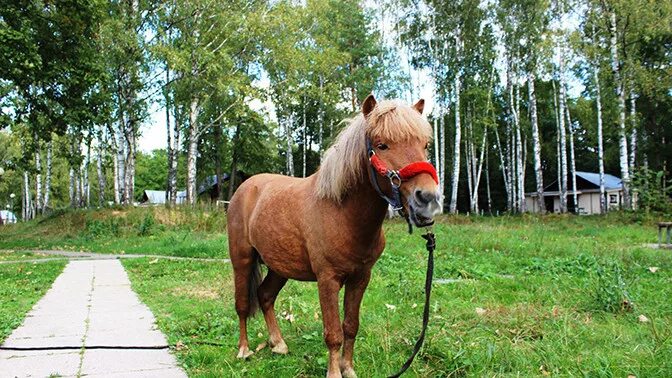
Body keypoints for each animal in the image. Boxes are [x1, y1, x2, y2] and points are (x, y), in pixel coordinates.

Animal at [228, 95, 444, 378]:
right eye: (382, 145)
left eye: (425, 144)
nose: (427, 199)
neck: (342, 214)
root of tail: (245, 188)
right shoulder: (327, 280)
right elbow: (333, 333)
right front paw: (334, 372)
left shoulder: (360, 278)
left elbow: (350, 326)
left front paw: (348, 369)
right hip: (241, 259)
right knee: (243, 304)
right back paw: (243, 350)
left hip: (279, 266)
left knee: (265, 296)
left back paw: (278, 344)